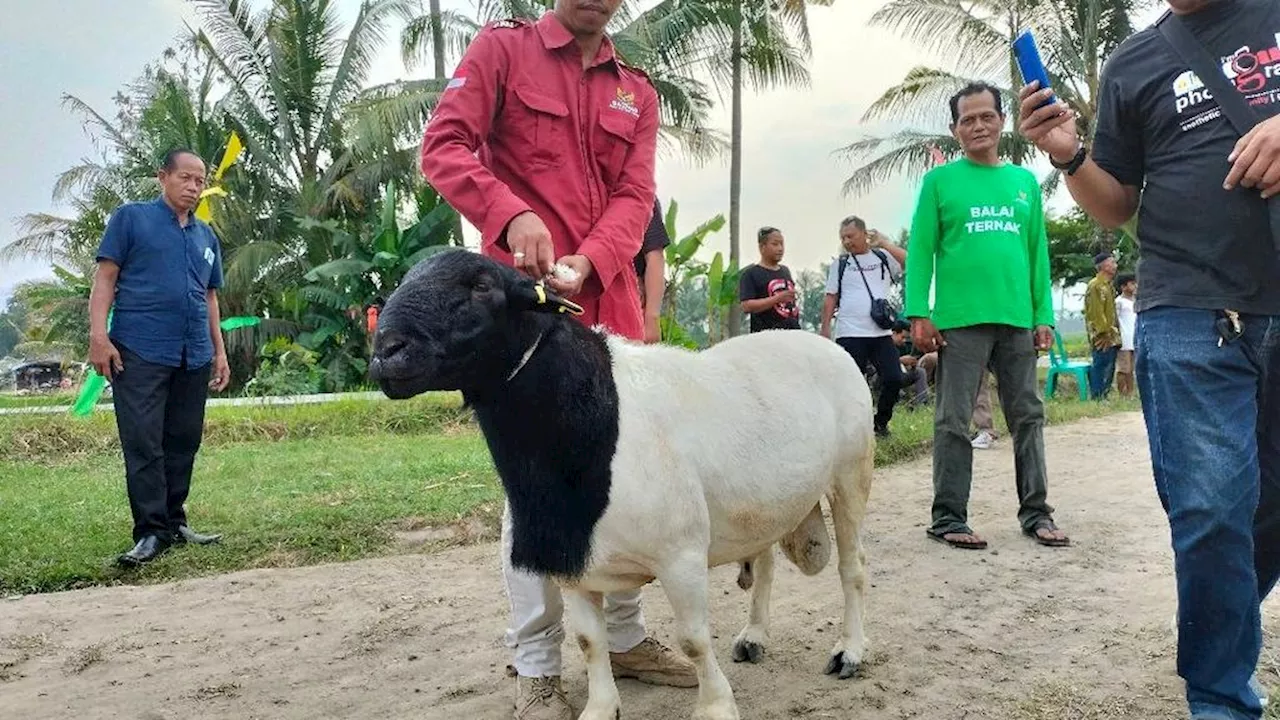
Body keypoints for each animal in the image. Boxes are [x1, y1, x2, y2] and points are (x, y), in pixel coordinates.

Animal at [366, 248, 875, 717]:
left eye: (481, 286)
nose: (386, 352)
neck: (595, 417)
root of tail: (820, 341)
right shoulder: (569, 559)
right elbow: (589, 641)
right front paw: (600, 707)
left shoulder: (680, 554)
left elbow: (693, 640)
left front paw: (715, 707)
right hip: (764, 501)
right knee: (765, 562)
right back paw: (753, 638)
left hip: (852, 473)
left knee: (852, 568)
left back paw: (849, 652)